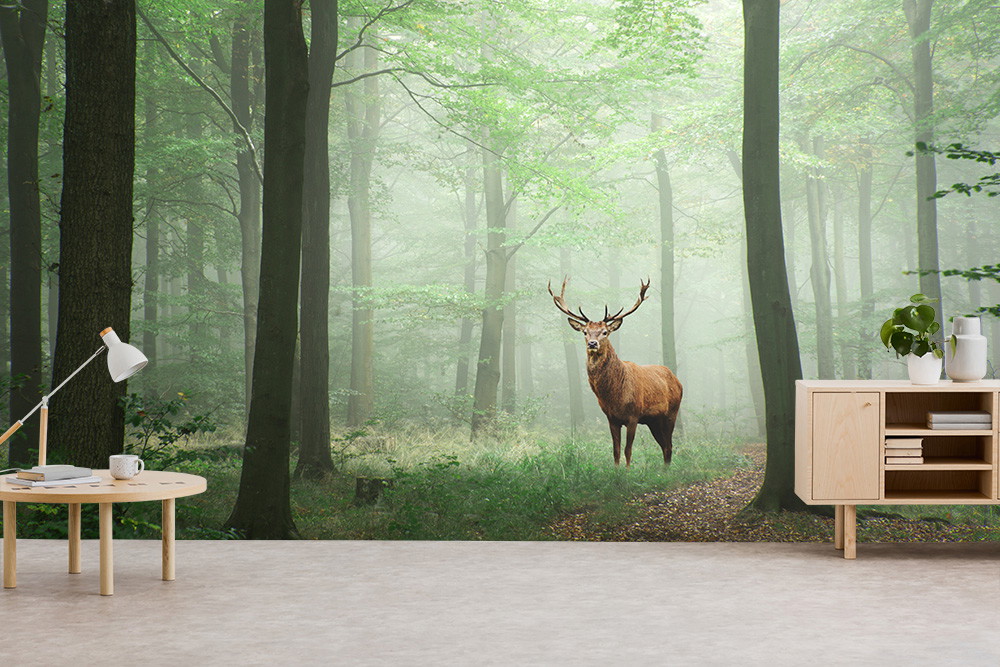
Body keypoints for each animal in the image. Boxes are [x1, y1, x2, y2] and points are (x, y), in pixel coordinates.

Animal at [549, 278, 682, 467]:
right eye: (585, 332)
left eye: (605, 332)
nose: (592, 343)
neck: (614, 395)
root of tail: (677, 381)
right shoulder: (611, 418)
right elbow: (616, 451)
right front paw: (616, 470)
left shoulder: (633, 415)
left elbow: (628, 450)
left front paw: (627, 471)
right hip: (653, 420)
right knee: (664, 446)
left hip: (672, 412)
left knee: (669, 446)